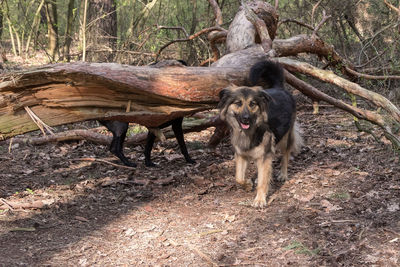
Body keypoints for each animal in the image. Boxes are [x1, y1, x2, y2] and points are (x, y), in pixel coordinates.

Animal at [217, 61, 302, 209]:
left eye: (252, 104)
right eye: (238, 103)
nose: (246, 119)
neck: (250, 132)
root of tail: (279, 88)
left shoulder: (265, 156)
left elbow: (263, 181)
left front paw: (260, 199)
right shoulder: (241, 155)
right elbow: (238, 178)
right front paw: (247, 184)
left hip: (286, 137)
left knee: (286, 154)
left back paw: (283, 174)